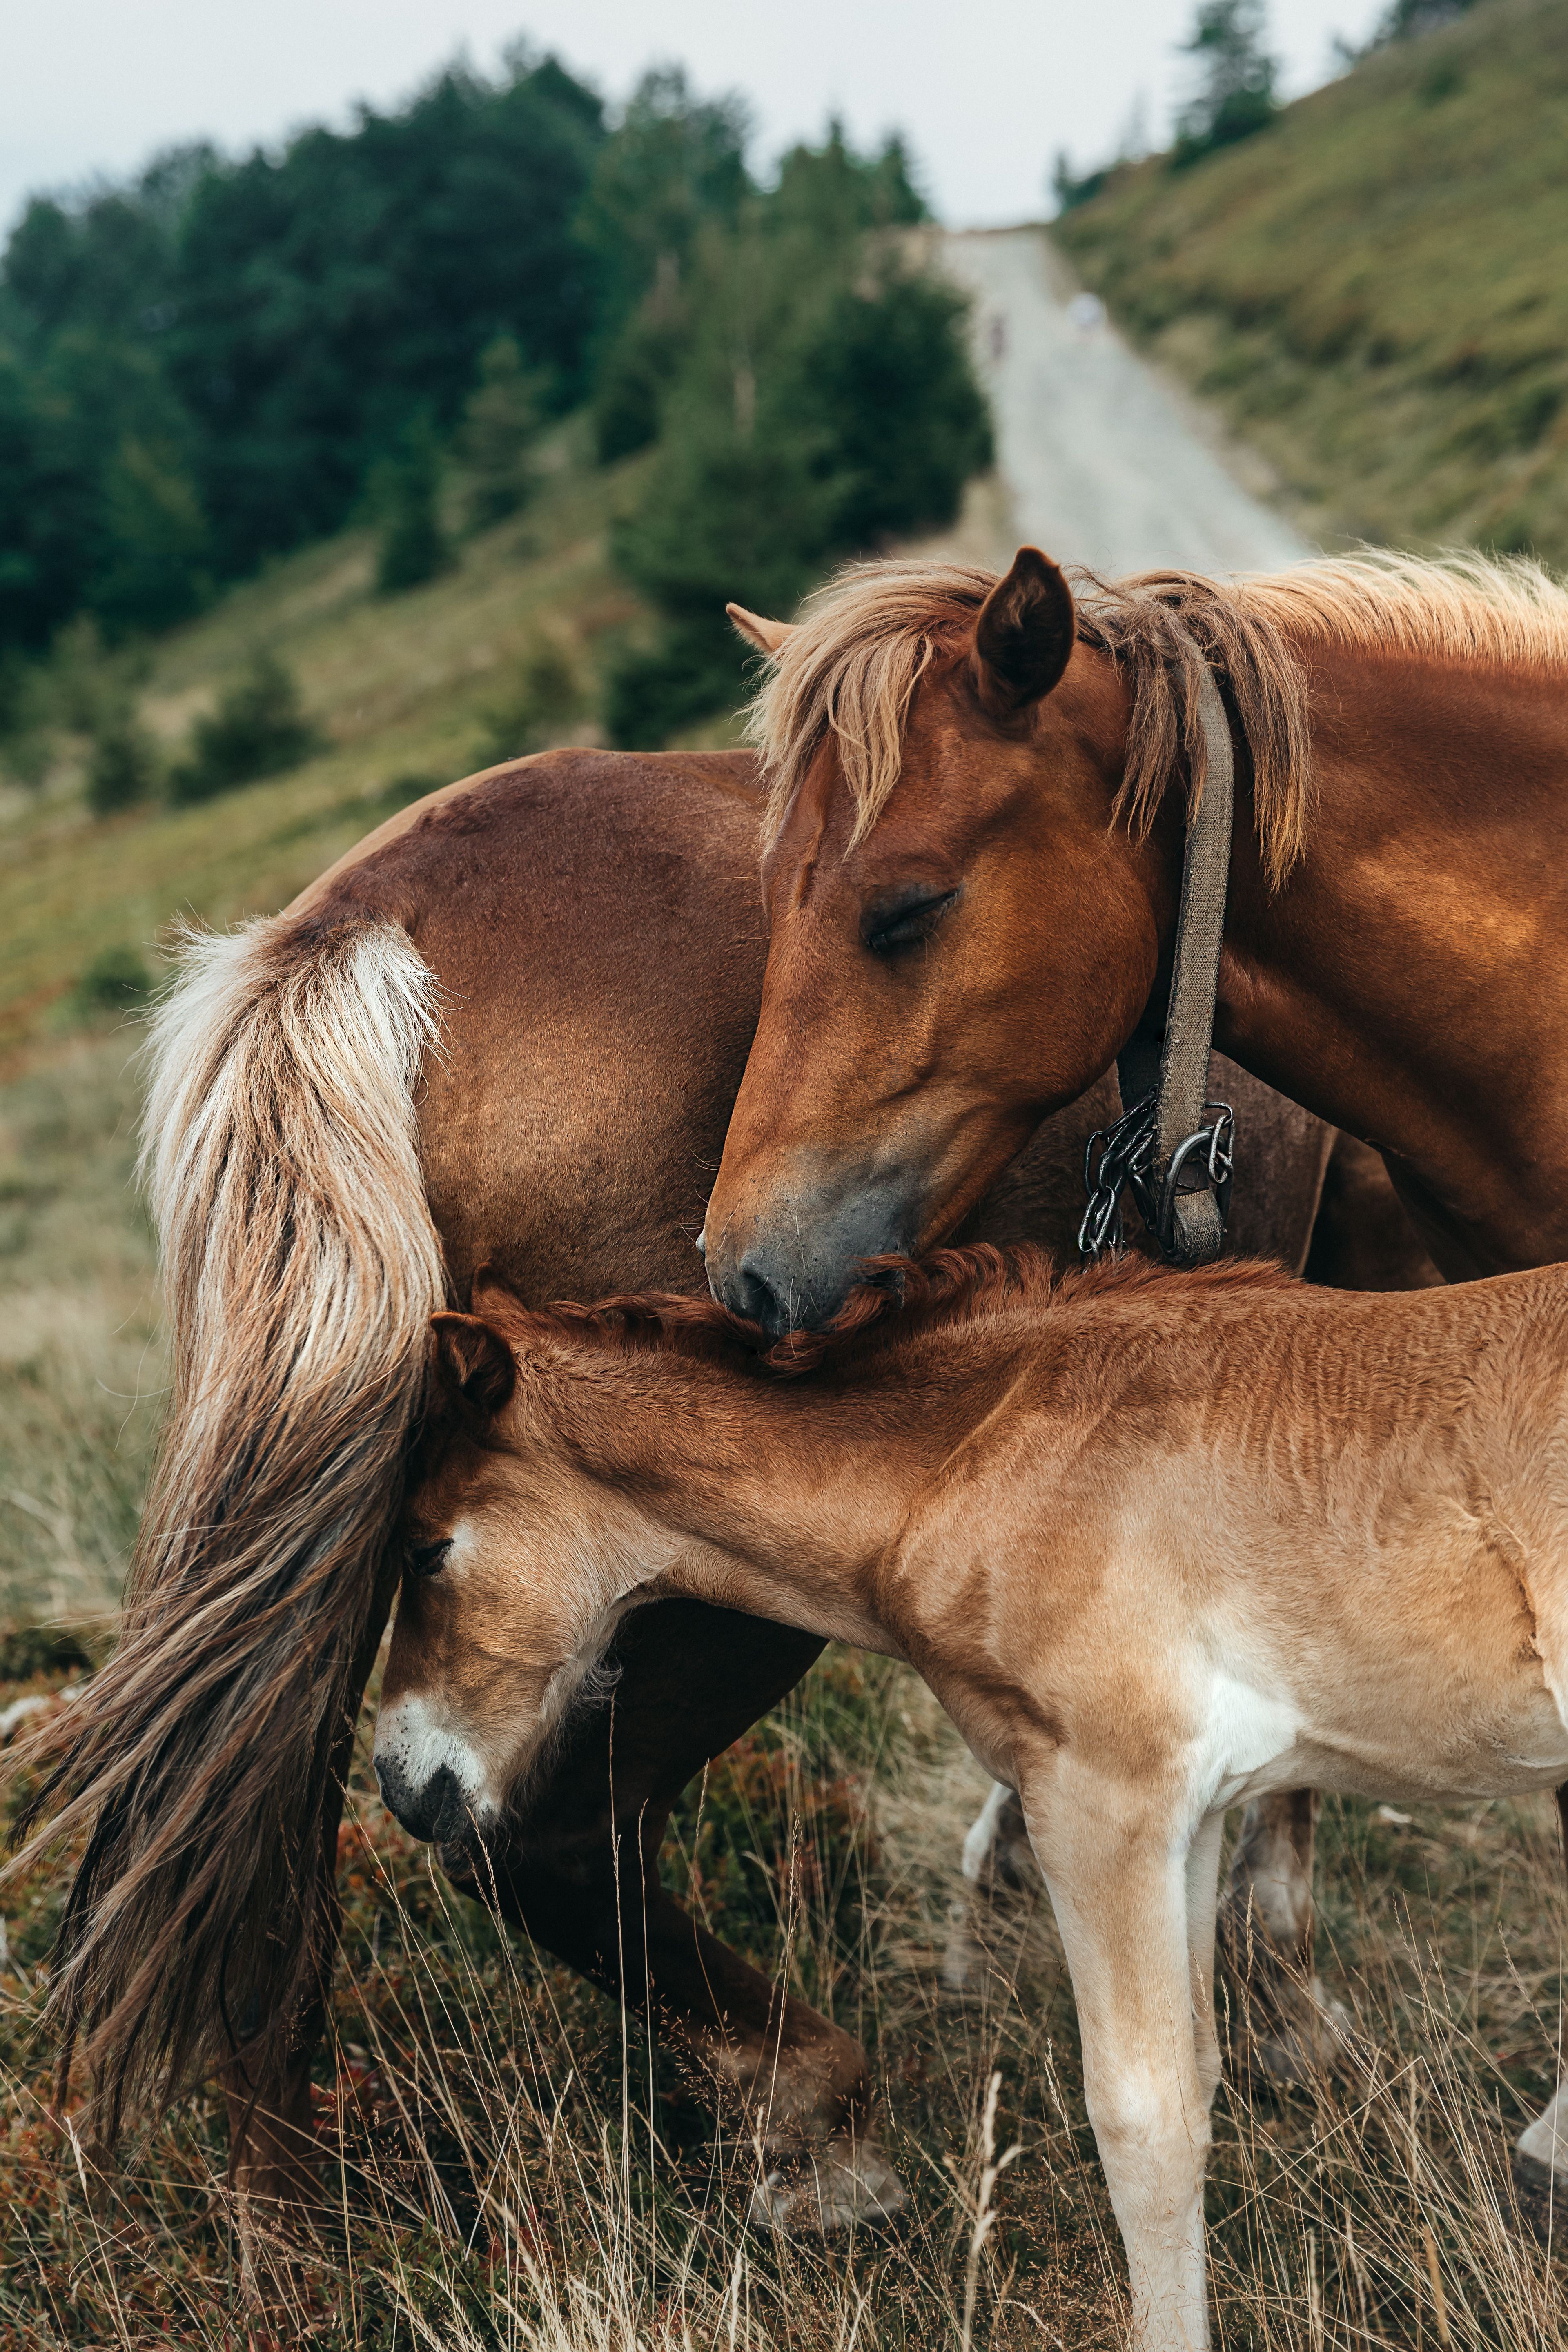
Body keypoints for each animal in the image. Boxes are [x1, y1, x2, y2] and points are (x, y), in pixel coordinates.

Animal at [8, 743, 1380, 2242]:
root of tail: (362, 928)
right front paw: (1282, 2005)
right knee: (543, 1842)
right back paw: (820, 2130)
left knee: (254, 1897)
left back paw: (296, 2246)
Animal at [377, 1241, 1568, 2352]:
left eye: (427, 1549)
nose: (399, 1780)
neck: (981, 1449)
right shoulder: (1190, 1816)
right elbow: (1198, 2073)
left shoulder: (1099, 1801)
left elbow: (1143, 2123)